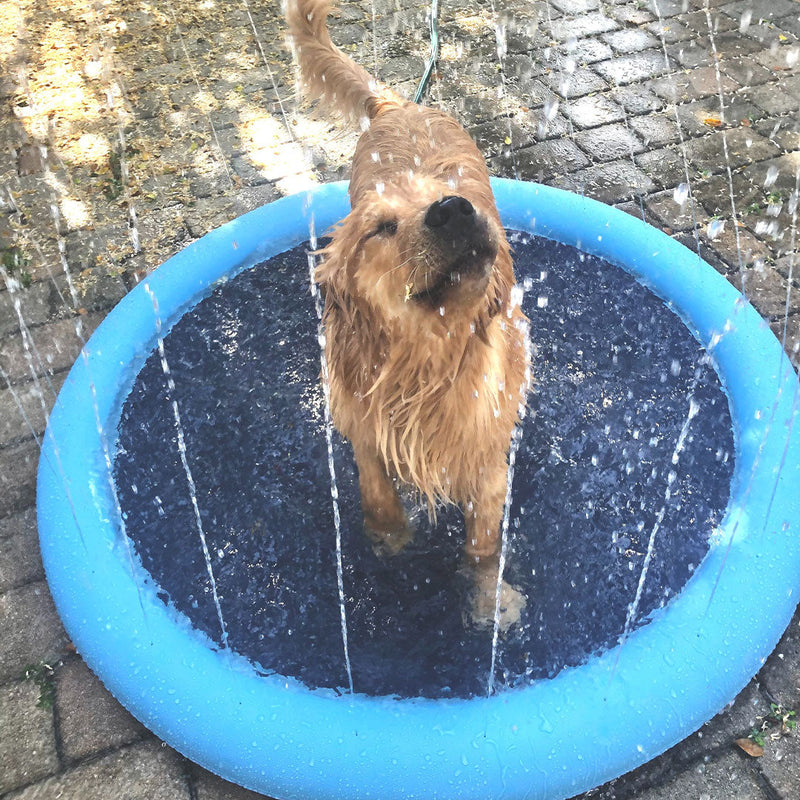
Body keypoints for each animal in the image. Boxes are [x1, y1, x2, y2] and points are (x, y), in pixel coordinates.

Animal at [288, 0, 532, 628]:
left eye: (447, 194)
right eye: (380, 227)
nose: (453, 209)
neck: (424, 364)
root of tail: (401, 105)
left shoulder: (487, 455)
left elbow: (483, 544)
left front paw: (489, 599)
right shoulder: (359, 420)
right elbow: (376, 489)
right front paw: (389, 540)